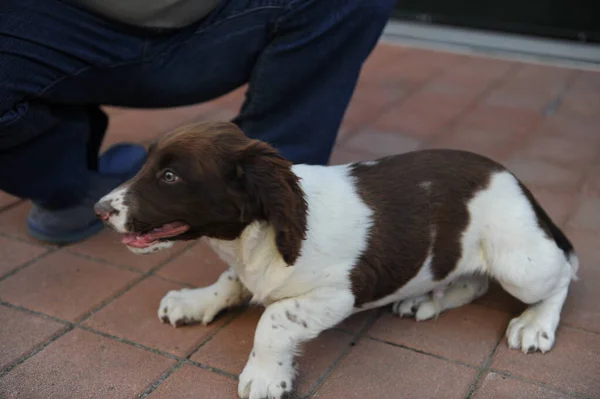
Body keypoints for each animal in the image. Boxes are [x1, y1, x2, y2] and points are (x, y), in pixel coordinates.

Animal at [96, 122, 580, 399]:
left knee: (564, 276)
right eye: (147, 166)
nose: (99, 210)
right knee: (473, 280)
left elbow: (272, 319)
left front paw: (266, 376)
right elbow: (232, 281)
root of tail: (514, 179)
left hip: (521, 265)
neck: (259, 237)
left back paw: (534, 324)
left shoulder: (338, 293)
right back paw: (426, 299)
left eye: (169, 176)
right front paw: (194, 302)